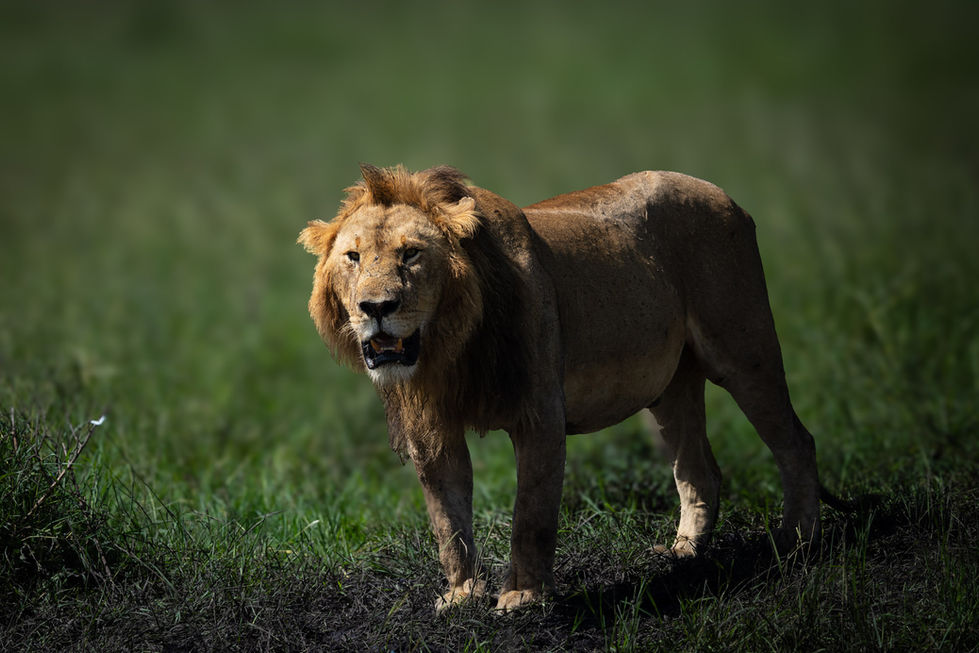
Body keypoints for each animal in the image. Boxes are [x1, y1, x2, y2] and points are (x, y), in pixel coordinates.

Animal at [299, 164, 840, 613]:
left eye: (411, 254)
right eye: (353, 257)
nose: (376, 307)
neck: (448, 349)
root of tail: (723, 194)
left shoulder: (540, 415)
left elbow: (531, 513)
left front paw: (522, 598)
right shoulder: (430, 430)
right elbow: (448, 521)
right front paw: (462, 597)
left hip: (743, 350)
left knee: (796, 440)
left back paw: (798, 539)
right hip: (671, 385)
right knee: (699, 468)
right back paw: (683, 555)